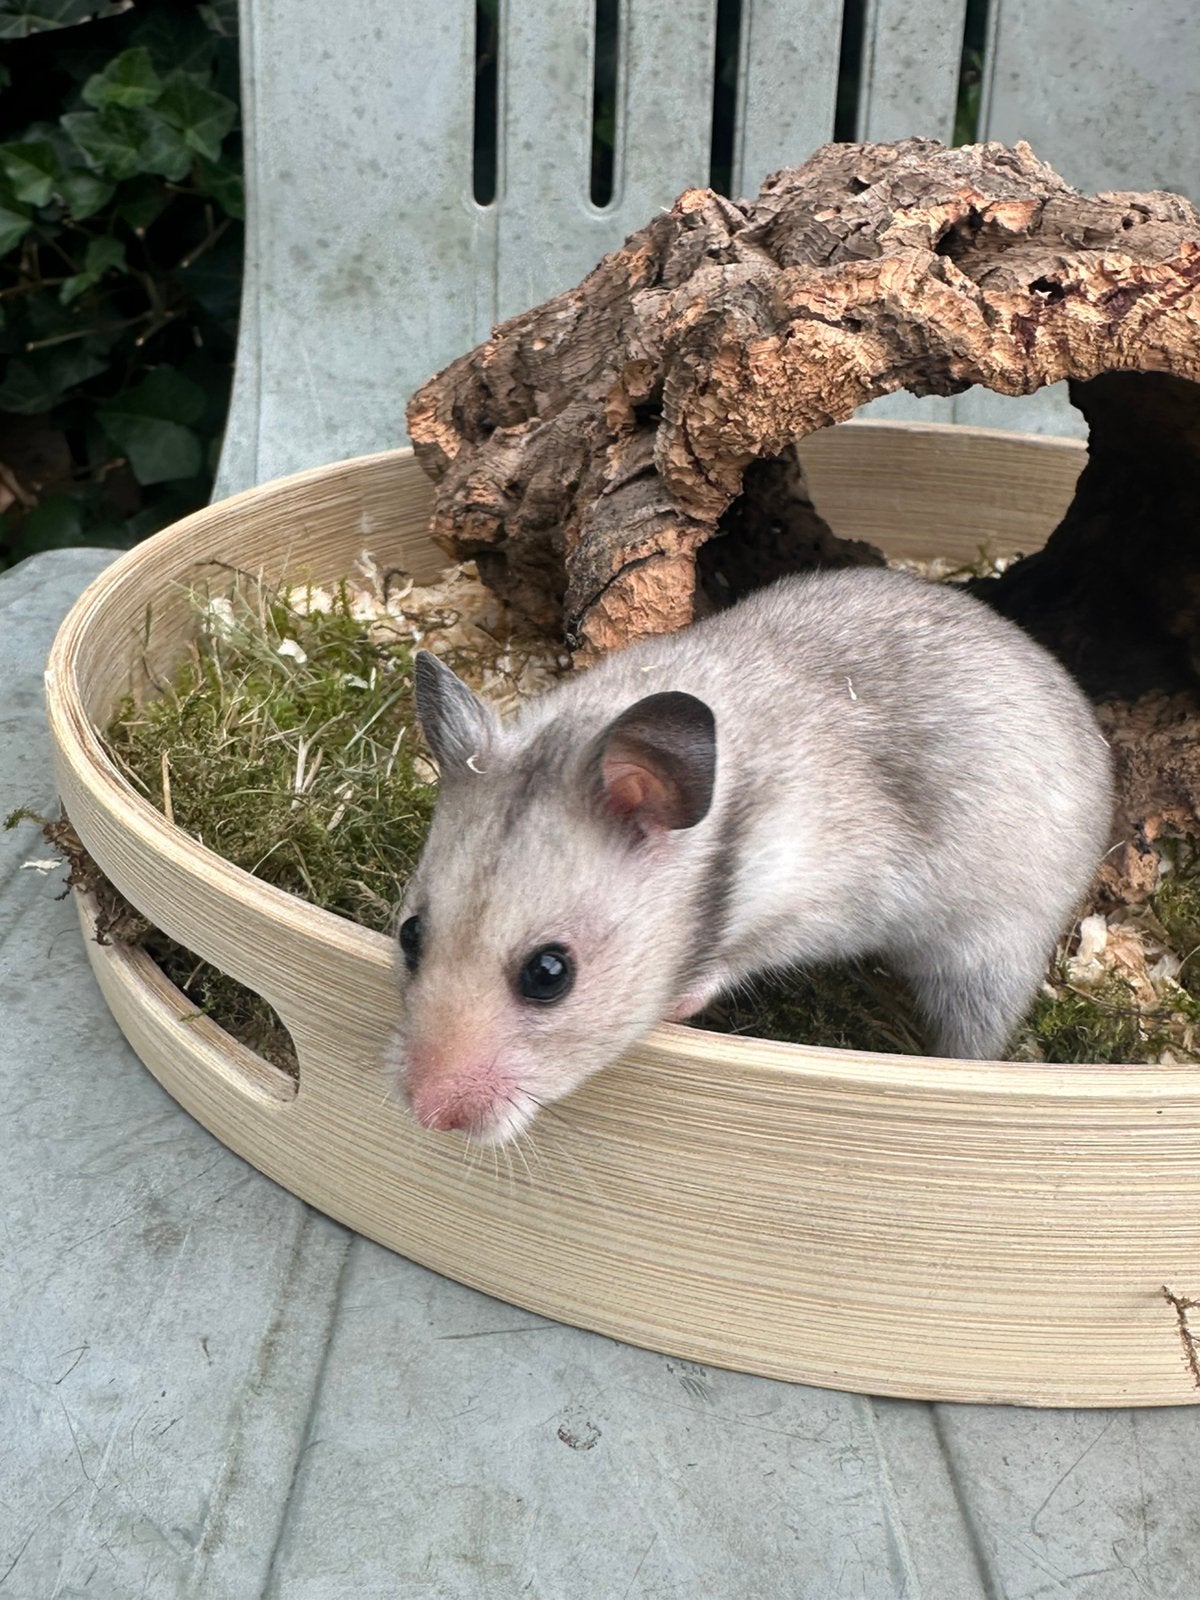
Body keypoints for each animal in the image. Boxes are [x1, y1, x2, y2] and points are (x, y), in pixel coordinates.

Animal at [387, 567, 1113, 1145]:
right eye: (411, 934)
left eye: (548, 973)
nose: (425, 1115)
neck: (727, 835)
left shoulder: (827, 905)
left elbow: (739, 959)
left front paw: (680, 1004)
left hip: (992, 954)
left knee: (976, 1039)